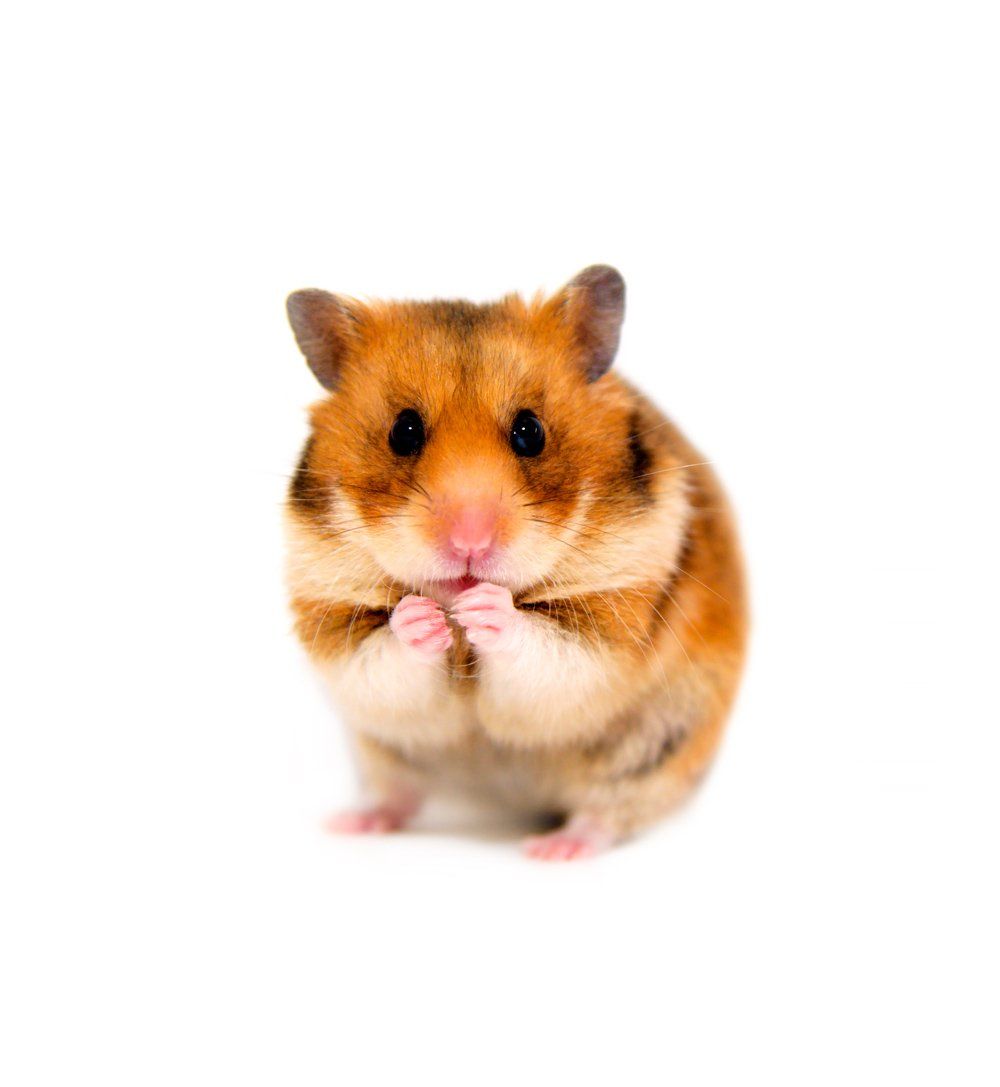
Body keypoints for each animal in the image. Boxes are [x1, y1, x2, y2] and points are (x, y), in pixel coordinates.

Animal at [284, 266, 747, 860]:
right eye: (403, 431)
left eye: (530, 431)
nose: (470, 543)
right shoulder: (334, 620)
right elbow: (384, 652)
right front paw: (425, 617)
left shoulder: (607, 625)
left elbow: (541, 646)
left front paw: (483, 606)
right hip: (381, 754)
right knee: (400, 793)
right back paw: (352, 823)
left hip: (656, 750)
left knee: (605, 814)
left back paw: (554, 849)